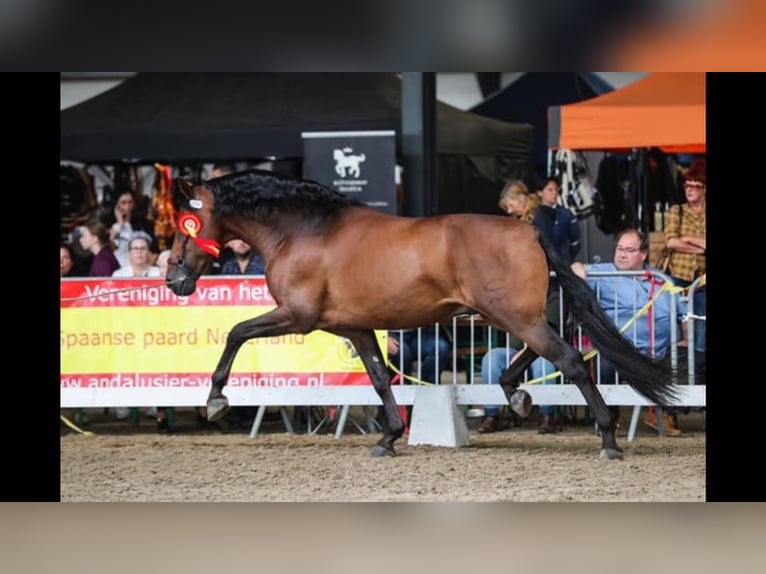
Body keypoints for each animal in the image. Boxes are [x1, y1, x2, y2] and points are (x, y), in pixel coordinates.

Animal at [168, 169, 680, 462]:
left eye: (185, 225)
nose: (174, 279)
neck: (306, 231)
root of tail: (528, 232)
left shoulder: (297, 315)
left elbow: (237, 332)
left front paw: (216, 399)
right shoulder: (354, 326)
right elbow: (379, 377)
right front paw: (389, 438)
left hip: (513, 317)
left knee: (570, 360)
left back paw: (608, 441)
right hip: (509, 316)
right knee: (550, 353)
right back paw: (516, 397)